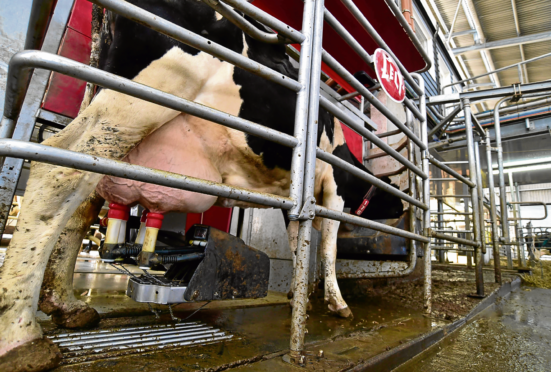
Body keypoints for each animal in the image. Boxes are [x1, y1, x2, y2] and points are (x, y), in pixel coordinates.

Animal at [1, 0, 402, 370]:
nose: (401, 210)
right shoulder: (332, 190)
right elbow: (328, 248)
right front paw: (337, 303)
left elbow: (295, 240)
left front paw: (295, 292)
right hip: (138, 97)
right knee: (58, 172)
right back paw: (21, 335)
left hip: (106, 106)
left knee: (80, 202)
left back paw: (66, 304)